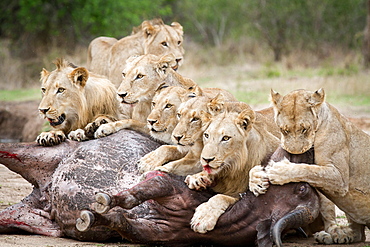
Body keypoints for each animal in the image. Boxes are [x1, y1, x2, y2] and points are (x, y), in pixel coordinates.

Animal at [184, 101, 278, 233]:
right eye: (206, 135)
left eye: (226, 138)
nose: (206, 159)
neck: (233, 168)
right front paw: (198, 178)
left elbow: (220, 197)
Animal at [247, 88, 370, 243]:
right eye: (284, 130)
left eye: (304, 129)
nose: (294, 152)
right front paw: (256, 181)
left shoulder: (340, 178)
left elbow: (308, 169)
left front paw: (279, 170)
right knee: (359, 234)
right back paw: (337, 236)